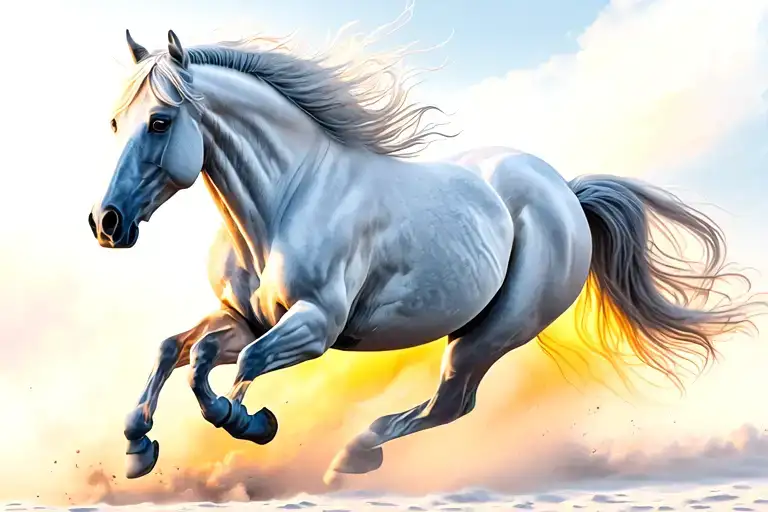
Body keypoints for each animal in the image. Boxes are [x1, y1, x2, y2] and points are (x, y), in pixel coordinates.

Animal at [89, 29, 757, 483]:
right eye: (116, 122)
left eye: (159, 121)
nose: (106, 223)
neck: (283, 201)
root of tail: (566, 193)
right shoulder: (246, 317)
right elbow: (182, 349)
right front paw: (137, 447)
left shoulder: (315, 327)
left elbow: (238, 366)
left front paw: (250, 422)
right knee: (447, 405)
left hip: (488, 336)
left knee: (452, 403)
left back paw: (353, 455)